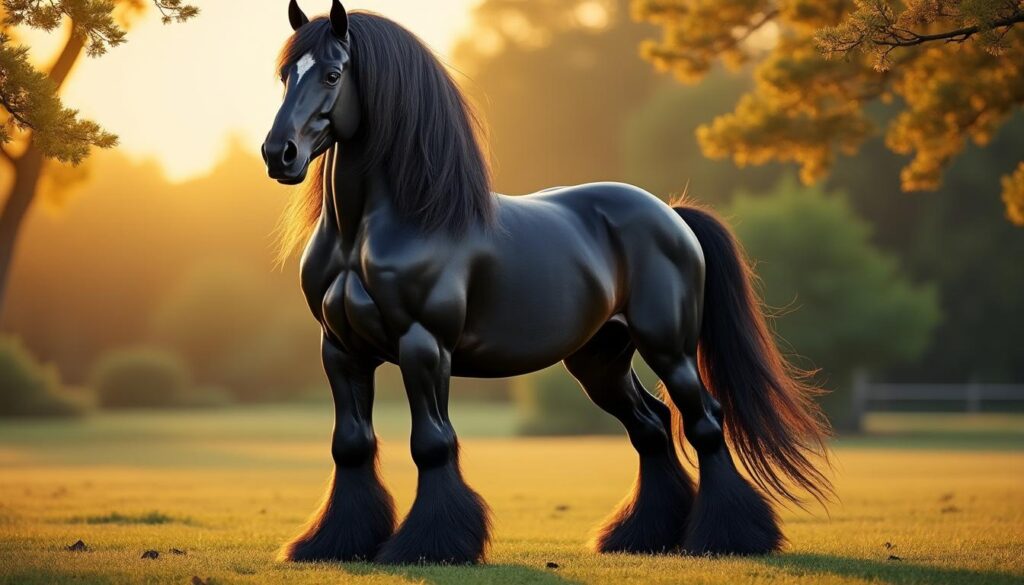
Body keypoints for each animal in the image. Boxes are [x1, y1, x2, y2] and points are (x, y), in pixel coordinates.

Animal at [261, 0, 832, 565]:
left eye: (333, 74)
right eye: (286, 74)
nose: (277, 153)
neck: (373, 229)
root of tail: (671, 215)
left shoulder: (424, 346)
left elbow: (432, 443)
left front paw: (430, 545)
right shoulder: (341, 350)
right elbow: (350, 444)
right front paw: (334, 543)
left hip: (670, 349)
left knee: (704, 421)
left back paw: (729, 537)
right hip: (600, 359)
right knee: (650, 427)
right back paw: (640, 536)